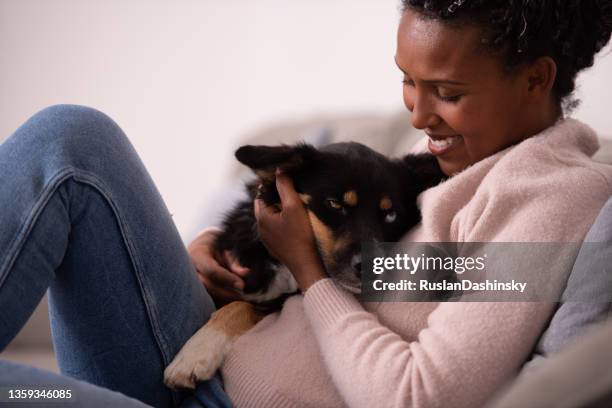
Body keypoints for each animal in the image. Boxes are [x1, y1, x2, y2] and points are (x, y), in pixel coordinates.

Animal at [163, 143, 442, 388]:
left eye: (391, 215)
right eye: (335, 204)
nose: (372, 266)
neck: (281, 265)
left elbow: (240, 307)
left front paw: (195, 355)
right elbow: (237, 304)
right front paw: (196, 352)